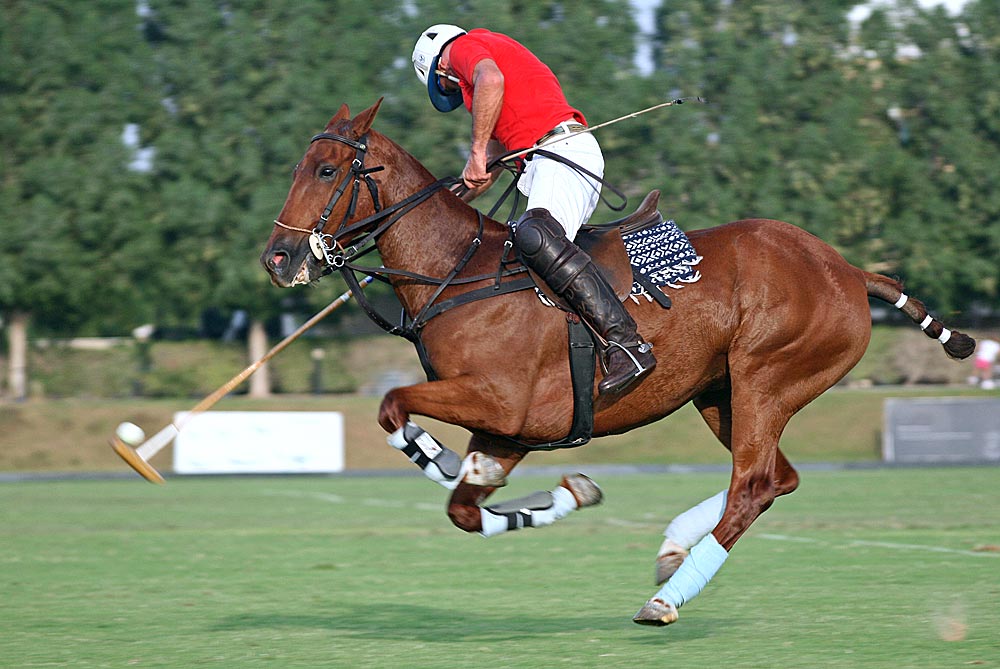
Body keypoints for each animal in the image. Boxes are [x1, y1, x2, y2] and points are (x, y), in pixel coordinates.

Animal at [260, 100, 976, 628]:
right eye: (299, 164)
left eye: (326, 171)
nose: (277, 259)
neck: (458, 272)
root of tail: (849, 270)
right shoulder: (510, 430)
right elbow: (465, 508)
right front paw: (572, 492)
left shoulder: (501, 401)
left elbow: (394, 408)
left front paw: (433, 454)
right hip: (720, 394)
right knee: (779, 477)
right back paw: (671, 549)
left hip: (767, 377)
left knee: (755, 483)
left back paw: (665, 599)